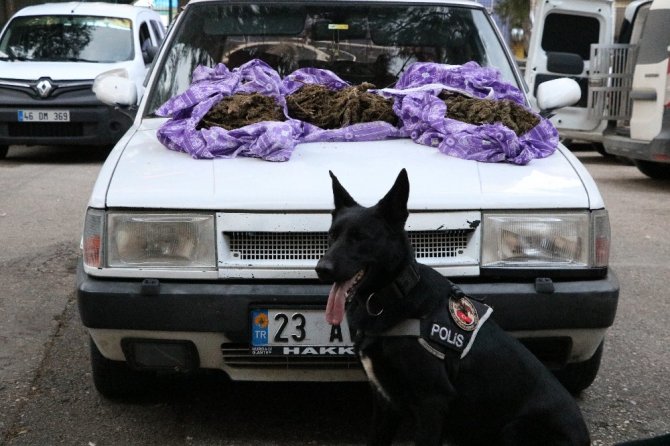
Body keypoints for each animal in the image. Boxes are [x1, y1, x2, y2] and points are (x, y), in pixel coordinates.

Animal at [318, 169, 592, 444]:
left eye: (360, 238)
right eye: (332, 236)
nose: (321, 269)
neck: (393, 295)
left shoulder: (431, 402)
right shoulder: (386, 404)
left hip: (515, 428)